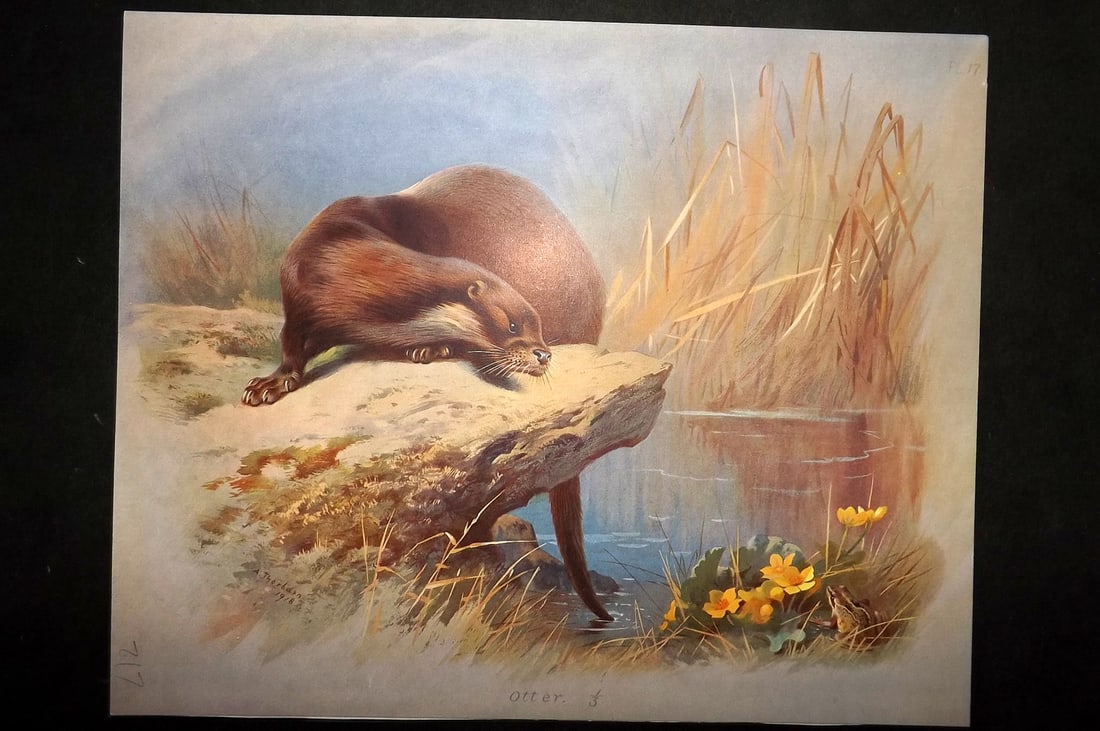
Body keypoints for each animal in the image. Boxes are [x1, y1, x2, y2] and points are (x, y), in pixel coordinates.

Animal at [241, 165, 611, 621]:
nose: (543, 353)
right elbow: (291, 347)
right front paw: (271, 383)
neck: (344, 272)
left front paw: (430, 347)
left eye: (537, 324)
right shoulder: (299, 299)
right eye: (512, 324)